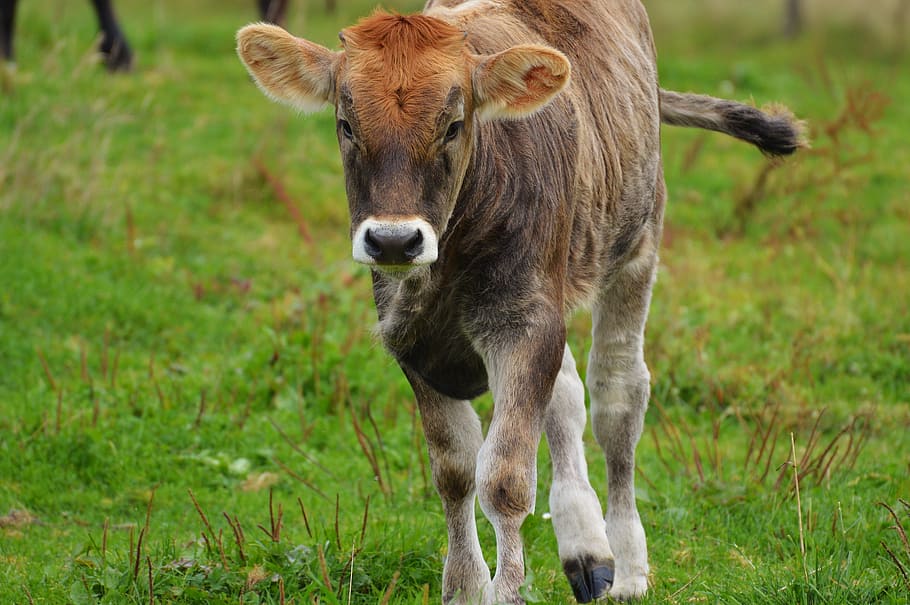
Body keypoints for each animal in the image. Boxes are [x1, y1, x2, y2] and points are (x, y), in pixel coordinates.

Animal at [236, 0, 803, 602]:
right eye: (346, 124)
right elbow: (455, 469)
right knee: (568, 396)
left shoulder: (525, 327)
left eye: (454, 125)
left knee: (617, 395)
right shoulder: (411, 341)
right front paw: (464, 586)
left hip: (637, 243)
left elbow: (504, 477)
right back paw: (586, 548)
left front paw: (506, 590)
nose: (393, 240)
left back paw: (628, 567)